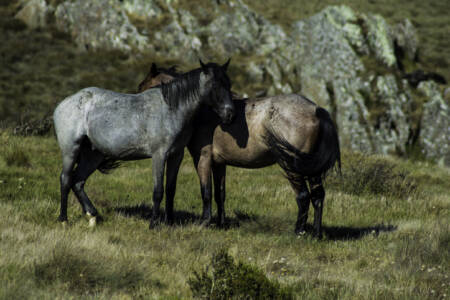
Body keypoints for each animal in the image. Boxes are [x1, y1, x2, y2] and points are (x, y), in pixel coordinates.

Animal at [54, 59, 234, 226]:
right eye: (214, 85)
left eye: (229, 84)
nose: (230, 114)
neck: (170, 109)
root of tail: (64, 104)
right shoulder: (159, 155)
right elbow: (158, 191)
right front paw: (154, 223)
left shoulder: (176, 155)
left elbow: (170, 189)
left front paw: (170, 222)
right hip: (71, 150)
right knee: (66, 179)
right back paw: (64, 220)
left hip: (93, 155)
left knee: (78, 182)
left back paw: (92, 216)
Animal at [138, 64, 342, 238]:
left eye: (144, 86)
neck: (204, 110)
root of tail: (316, 110)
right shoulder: (219, 163)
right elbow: (220, 194)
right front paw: (220, 223)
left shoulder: (202, 158)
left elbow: (206, 191)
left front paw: (204, 222)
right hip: (311, 169)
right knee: (318, 196)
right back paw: (316, 234)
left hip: (293, 168)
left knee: (303, 196)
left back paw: (298, 231)